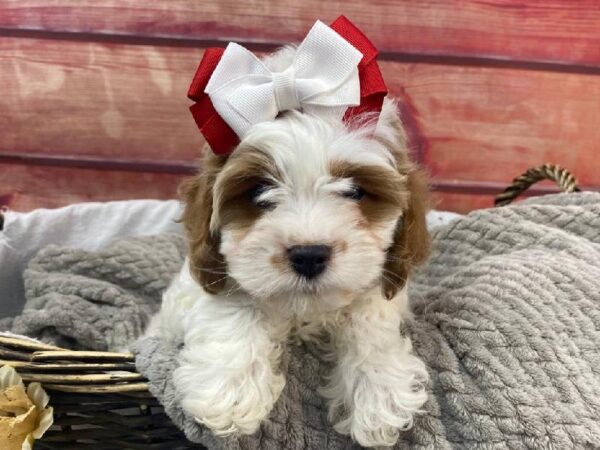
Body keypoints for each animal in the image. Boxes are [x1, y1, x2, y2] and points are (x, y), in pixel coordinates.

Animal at [150, 18, 432, 450]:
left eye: (355, 191)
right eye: (259, 191)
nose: (308, 255)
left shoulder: (382, 284)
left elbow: (369, 320)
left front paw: (379, 391)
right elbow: (236, 302)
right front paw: (229, 388)